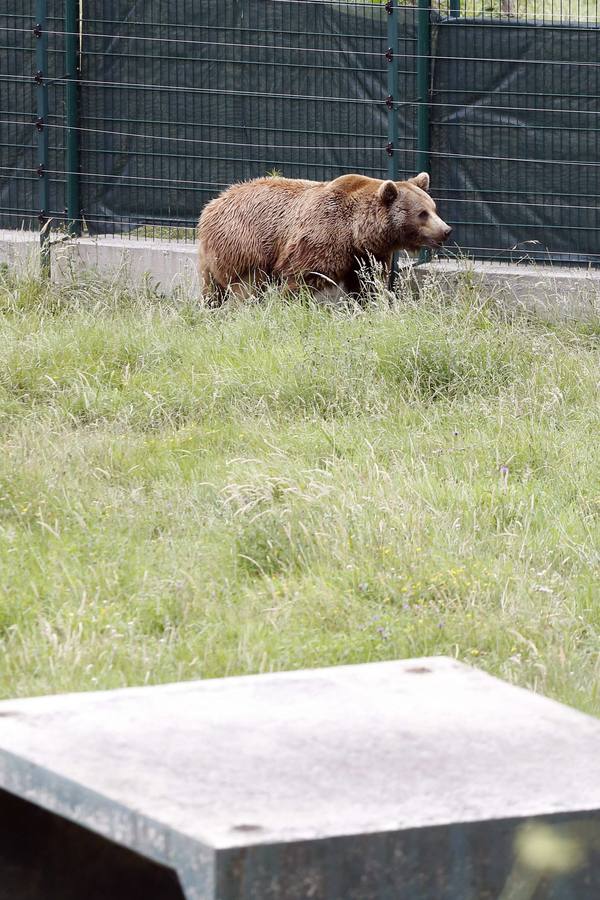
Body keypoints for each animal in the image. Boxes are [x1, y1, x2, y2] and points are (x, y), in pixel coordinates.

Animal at [197, 174, 450, 300]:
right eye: (422, 213)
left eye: (434, 208)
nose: (446, 230)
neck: (355, 232)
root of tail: (212, 205)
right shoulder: (319, 239)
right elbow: (300, 279)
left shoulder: (365, 255)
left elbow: (367, 283)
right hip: (245, 244)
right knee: (246, 286)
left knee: (212, 291)